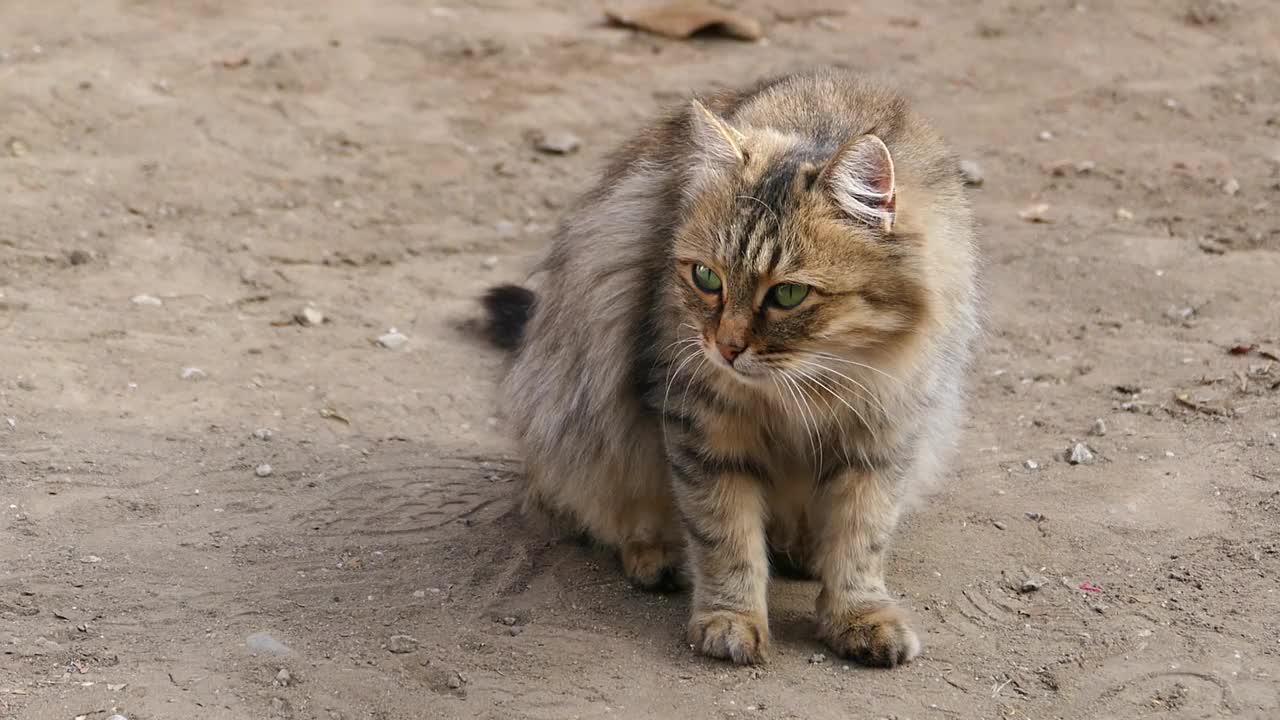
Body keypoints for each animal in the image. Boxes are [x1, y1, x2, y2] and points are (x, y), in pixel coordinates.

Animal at [481, 70, 977, 666]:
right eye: (706, 278)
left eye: (788, 294)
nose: (726, 347)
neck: (812, 383)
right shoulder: (703, 425)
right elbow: (725, 534)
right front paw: (730, 619)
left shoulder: (883, 434)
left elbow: (861, 539)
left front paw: (858, 616)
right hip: (580, 414)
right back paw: (657, 554)